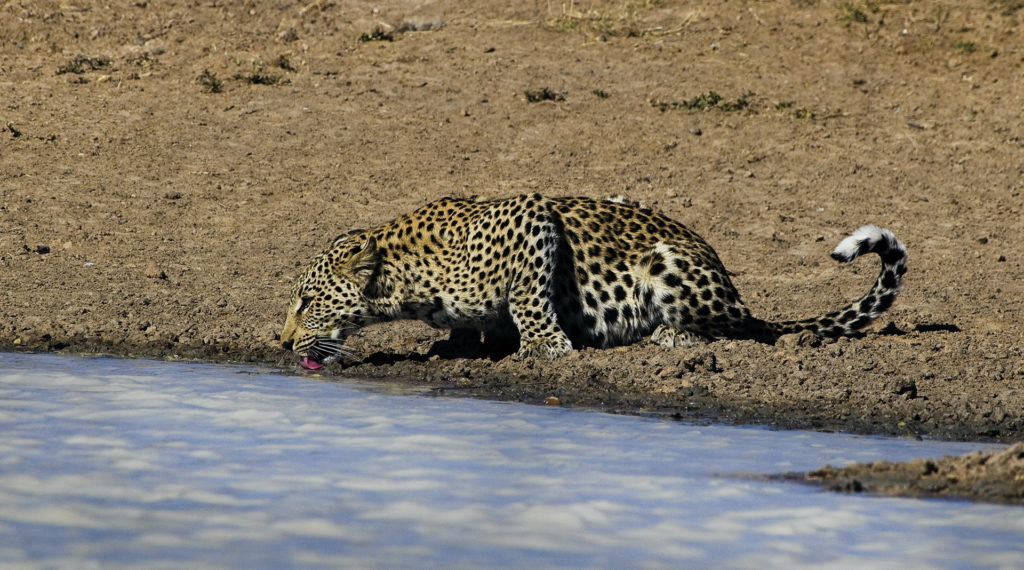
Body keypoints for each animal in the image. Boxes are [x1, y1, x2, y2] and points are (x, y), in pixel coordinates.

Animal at [278, 192, 905, 368]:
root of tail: (735, 295)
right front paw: (459, 343)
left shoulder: (531, 217)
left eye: (306, 302)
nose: (281, 343)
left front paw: (546, 344)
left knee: (735, 331)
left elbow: (529, 296)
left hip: (669, 265)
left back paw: (669, 335)